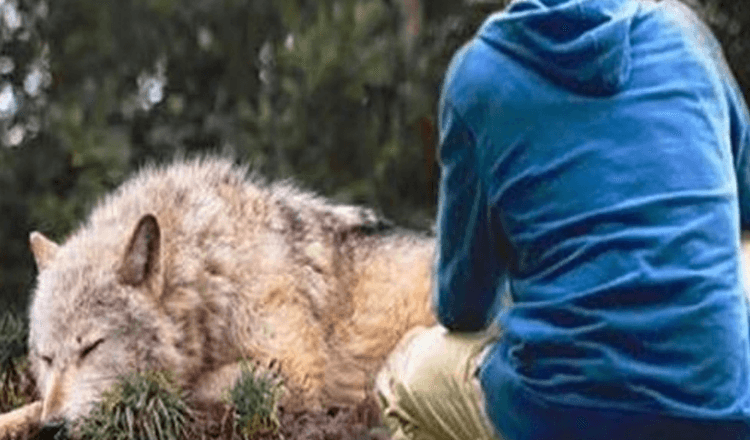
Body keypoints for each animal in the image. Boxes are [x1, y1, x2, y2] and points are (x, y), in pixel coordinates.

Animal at [0, 156, 438, 434]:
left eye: (91, 347)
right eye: (46, 358)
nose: (53, 428)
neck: (211, 271)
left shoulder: (294, 373)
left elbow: (179, 388)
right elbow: (33, 406)